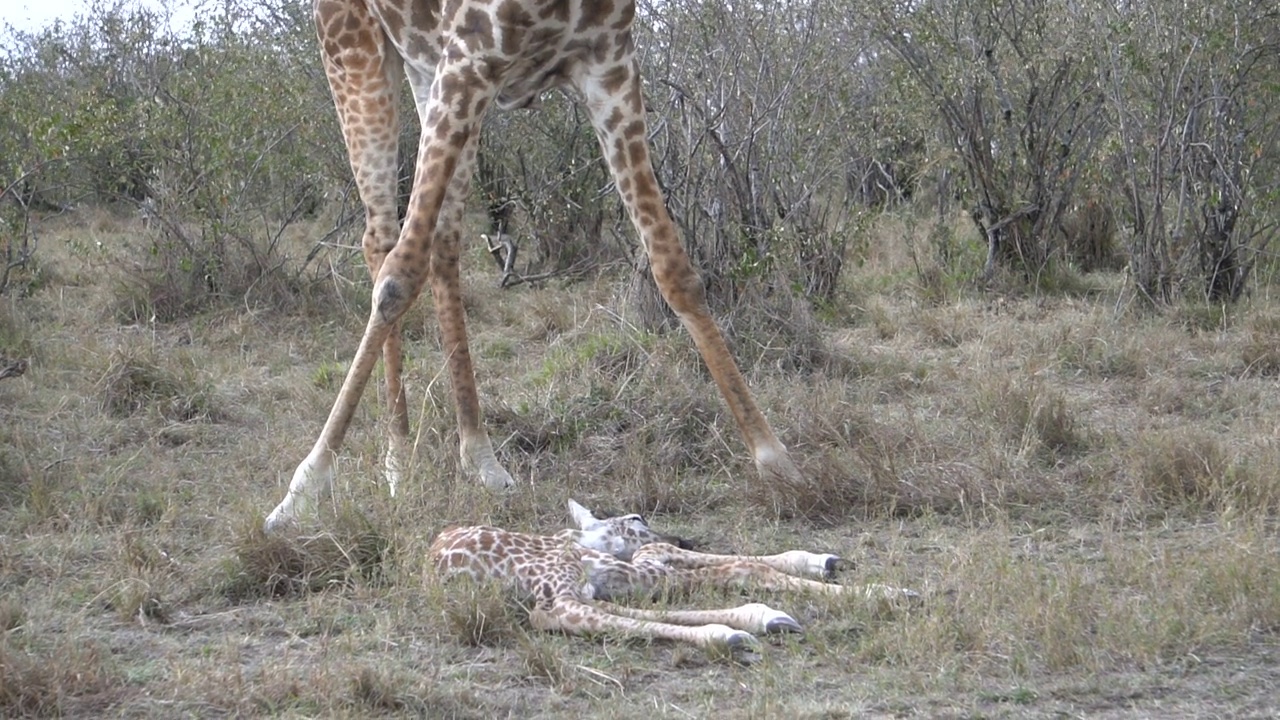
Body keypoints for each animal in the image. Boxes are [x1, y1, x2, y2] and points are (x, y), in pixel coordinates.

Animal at [262, 0, 798, 527]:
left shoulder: (608, 67)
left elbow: (674, 268)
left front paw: (773, 457)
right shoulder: (470, 56)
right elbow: (398, 279)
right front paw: (302, 492)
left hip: (428, 69)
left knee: (442, 242)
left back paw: (478, 456)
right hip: (358, 51)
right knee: (382, 241)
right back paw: (397, 460)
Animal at [430, 502, 921, 653]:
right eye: (635, 517)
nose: (683, 534)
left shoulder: (625, 570)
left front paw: (822, 562)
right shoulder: (636, 565)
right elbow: (744, 566)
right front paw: (885, 592)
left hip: (578, 588)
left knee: (576, 614)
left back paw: (759, 622)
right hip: (564, 589)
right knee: (562, 616)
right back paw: (735, 633)